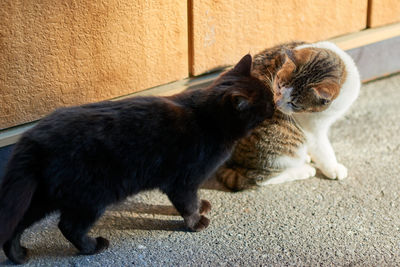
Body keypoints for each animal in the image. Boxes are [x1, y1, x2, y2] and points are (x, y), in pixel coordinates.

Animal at [0, 55, 276, 266]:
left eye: (271, 96)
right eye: (265, 102)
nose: (276, 105)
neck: (207, 118)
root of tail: (32, 137)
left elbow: (190, 201)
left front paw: (201, 206)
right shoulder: (183, 181)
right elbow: (186, 204)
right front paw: (195, 222)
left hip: (43, 195)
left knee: (16, 224)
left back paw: (18, 255)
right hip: (91, 196)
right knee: (69, 226)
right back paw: (93, 246)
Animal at [217, 41, 360, 191]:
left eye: (294, 104)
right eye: (279, 86)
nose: (276, 104)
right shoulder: (313, 132)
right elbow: (324, 150)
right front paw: (333, 168)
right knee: (258, 178)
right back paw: (303, 170)